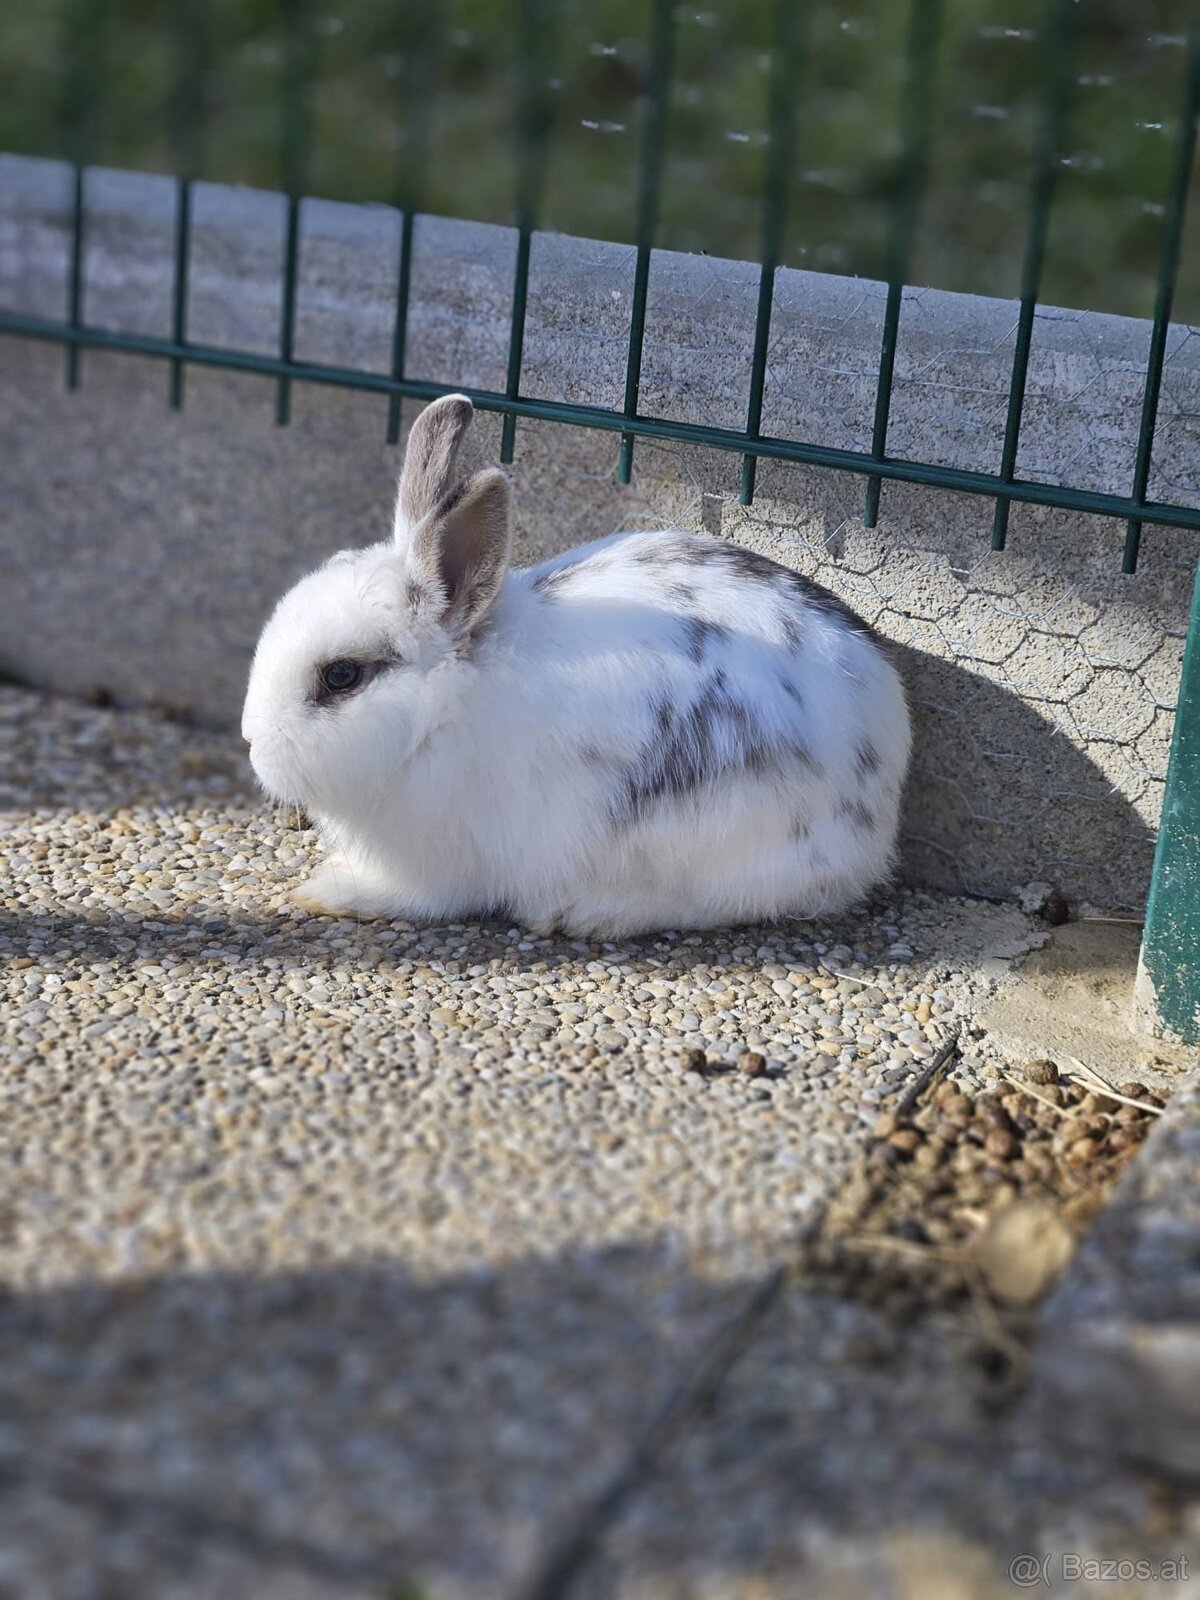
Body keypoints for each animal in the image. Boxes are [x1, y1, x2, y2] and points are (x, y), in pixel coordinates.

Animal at [242, 394, 911, 937]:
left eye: (342, 676)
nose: (252, 741)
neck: (444, 711)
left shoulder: (443, 859)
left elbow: (418, 896)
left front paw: (327, 890)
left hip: (715, 837)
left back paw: (583, 912)